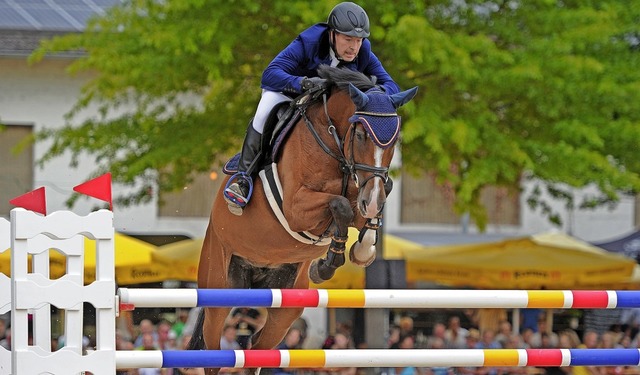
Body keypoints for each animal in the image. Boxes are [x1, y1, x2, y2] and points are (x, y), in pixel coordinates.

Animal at [188, 66, 418, 374]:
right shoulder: (296, 208)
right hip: (220, 287)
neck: (335, 145)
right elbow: (340, 205)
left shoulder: (367, 191)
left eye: (395, 140)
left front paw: (359, 251)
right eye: (360, 135)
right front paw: (327, 264)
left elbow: (369, 207)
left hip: (287, 303)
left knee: (257, 346)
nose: (371, 200)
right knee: (212, 348)